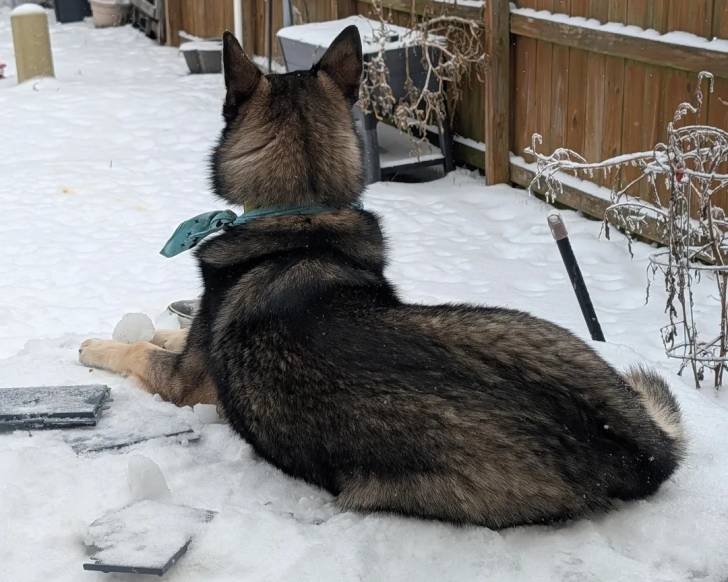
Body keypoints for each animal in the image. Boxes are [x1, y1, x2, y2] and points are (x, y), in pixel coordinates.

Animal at [79, 26, 685, 529]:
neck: (301, 218)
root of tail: (640, 452)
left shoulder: (186, 385)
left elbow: (139, 353)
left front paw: (97, 346)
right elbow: (170, 335)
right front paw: (163, 329)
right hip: (528, 330)